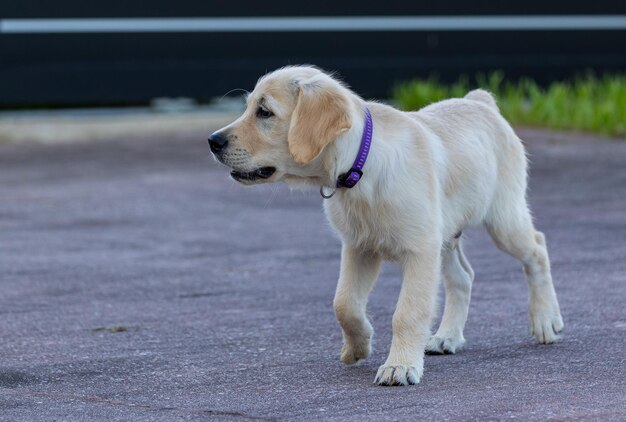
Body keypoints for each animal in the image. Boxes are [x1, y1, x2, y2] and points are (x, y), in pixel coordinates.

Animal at [207, 66, 564, 386]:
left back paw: (546, 320)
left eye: (265, 112)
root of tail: (479, 101)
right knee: (464, 277)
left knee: (537, 247)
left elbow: (407, 312)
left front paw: (400, 367)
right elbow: (344, 304)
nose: (213, 141)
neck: (360, 165)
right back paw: (447, 337)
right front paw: (359, 346)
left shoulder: (420, 251)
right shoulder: (359, 247)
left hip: (503, 218)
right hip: (444, 236)